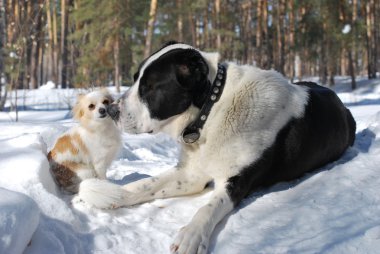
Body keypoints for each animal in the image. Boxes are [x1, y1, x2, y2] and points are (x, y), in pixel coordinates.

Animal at [77, 42, 356, 254]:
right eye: (135, 80)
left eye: (149, 87)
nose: (111, 110)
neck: (211, 109)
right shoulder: (190, 174)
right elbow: (143, 185)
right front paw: (107, 193)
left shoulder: (236, 182)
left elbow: (207, 207)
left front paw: (190, 235)